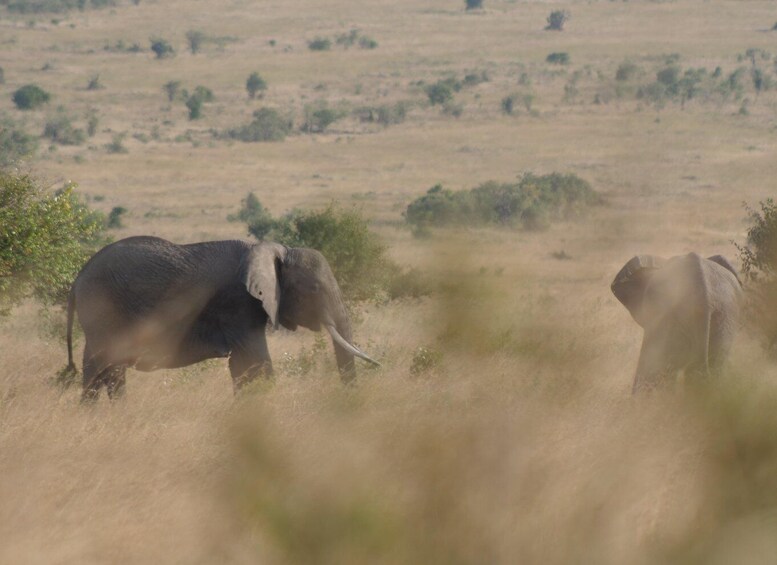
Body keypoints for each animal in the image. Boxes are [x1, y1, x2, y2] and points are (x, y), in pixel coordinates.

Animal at [65, 235, 378, 400]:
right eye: (313, 289)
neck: (272, 249)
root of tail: (79, 276)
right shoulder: (237, 304)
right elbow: (256, 361)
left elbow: (241, 366)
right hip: (103, 309)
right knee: (104, 366)